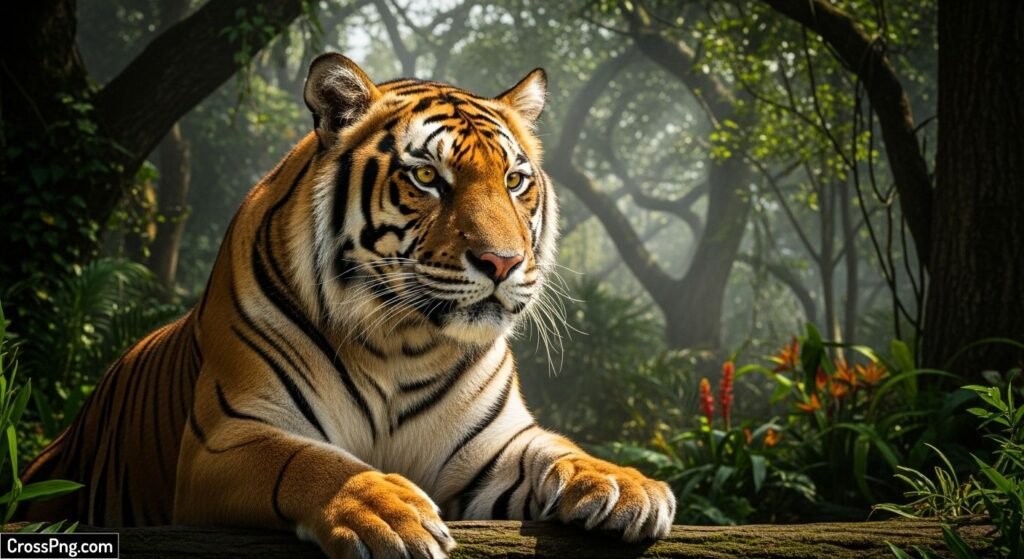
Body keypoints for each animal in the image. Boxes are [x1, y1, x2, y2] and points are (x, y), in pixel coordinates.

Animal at [21, 53, 676, 558]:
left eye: (515, 181)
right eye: (427, 177)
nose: (502, 262)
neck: (404, 343)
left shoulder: (491, 450)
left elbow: (558, 449)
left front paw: (627, 485)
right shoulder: (224, 439)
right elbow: (309, 461)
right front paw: (385, 511)